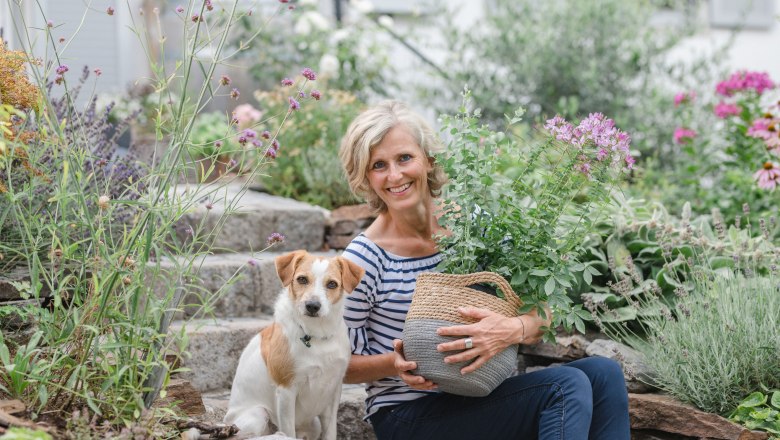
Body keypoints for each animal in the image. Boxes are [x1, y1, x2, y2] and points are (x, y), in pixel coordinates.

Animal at [222, 249, 362, 438]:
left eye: (332, 284)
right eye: (302, 279)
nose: (312, 306)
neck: (317, 334)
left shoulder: (333, 390)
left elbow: (330, 432)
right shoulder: (286, 391)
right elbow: (288, 432)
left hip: (314, 424)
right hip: (258, 414)